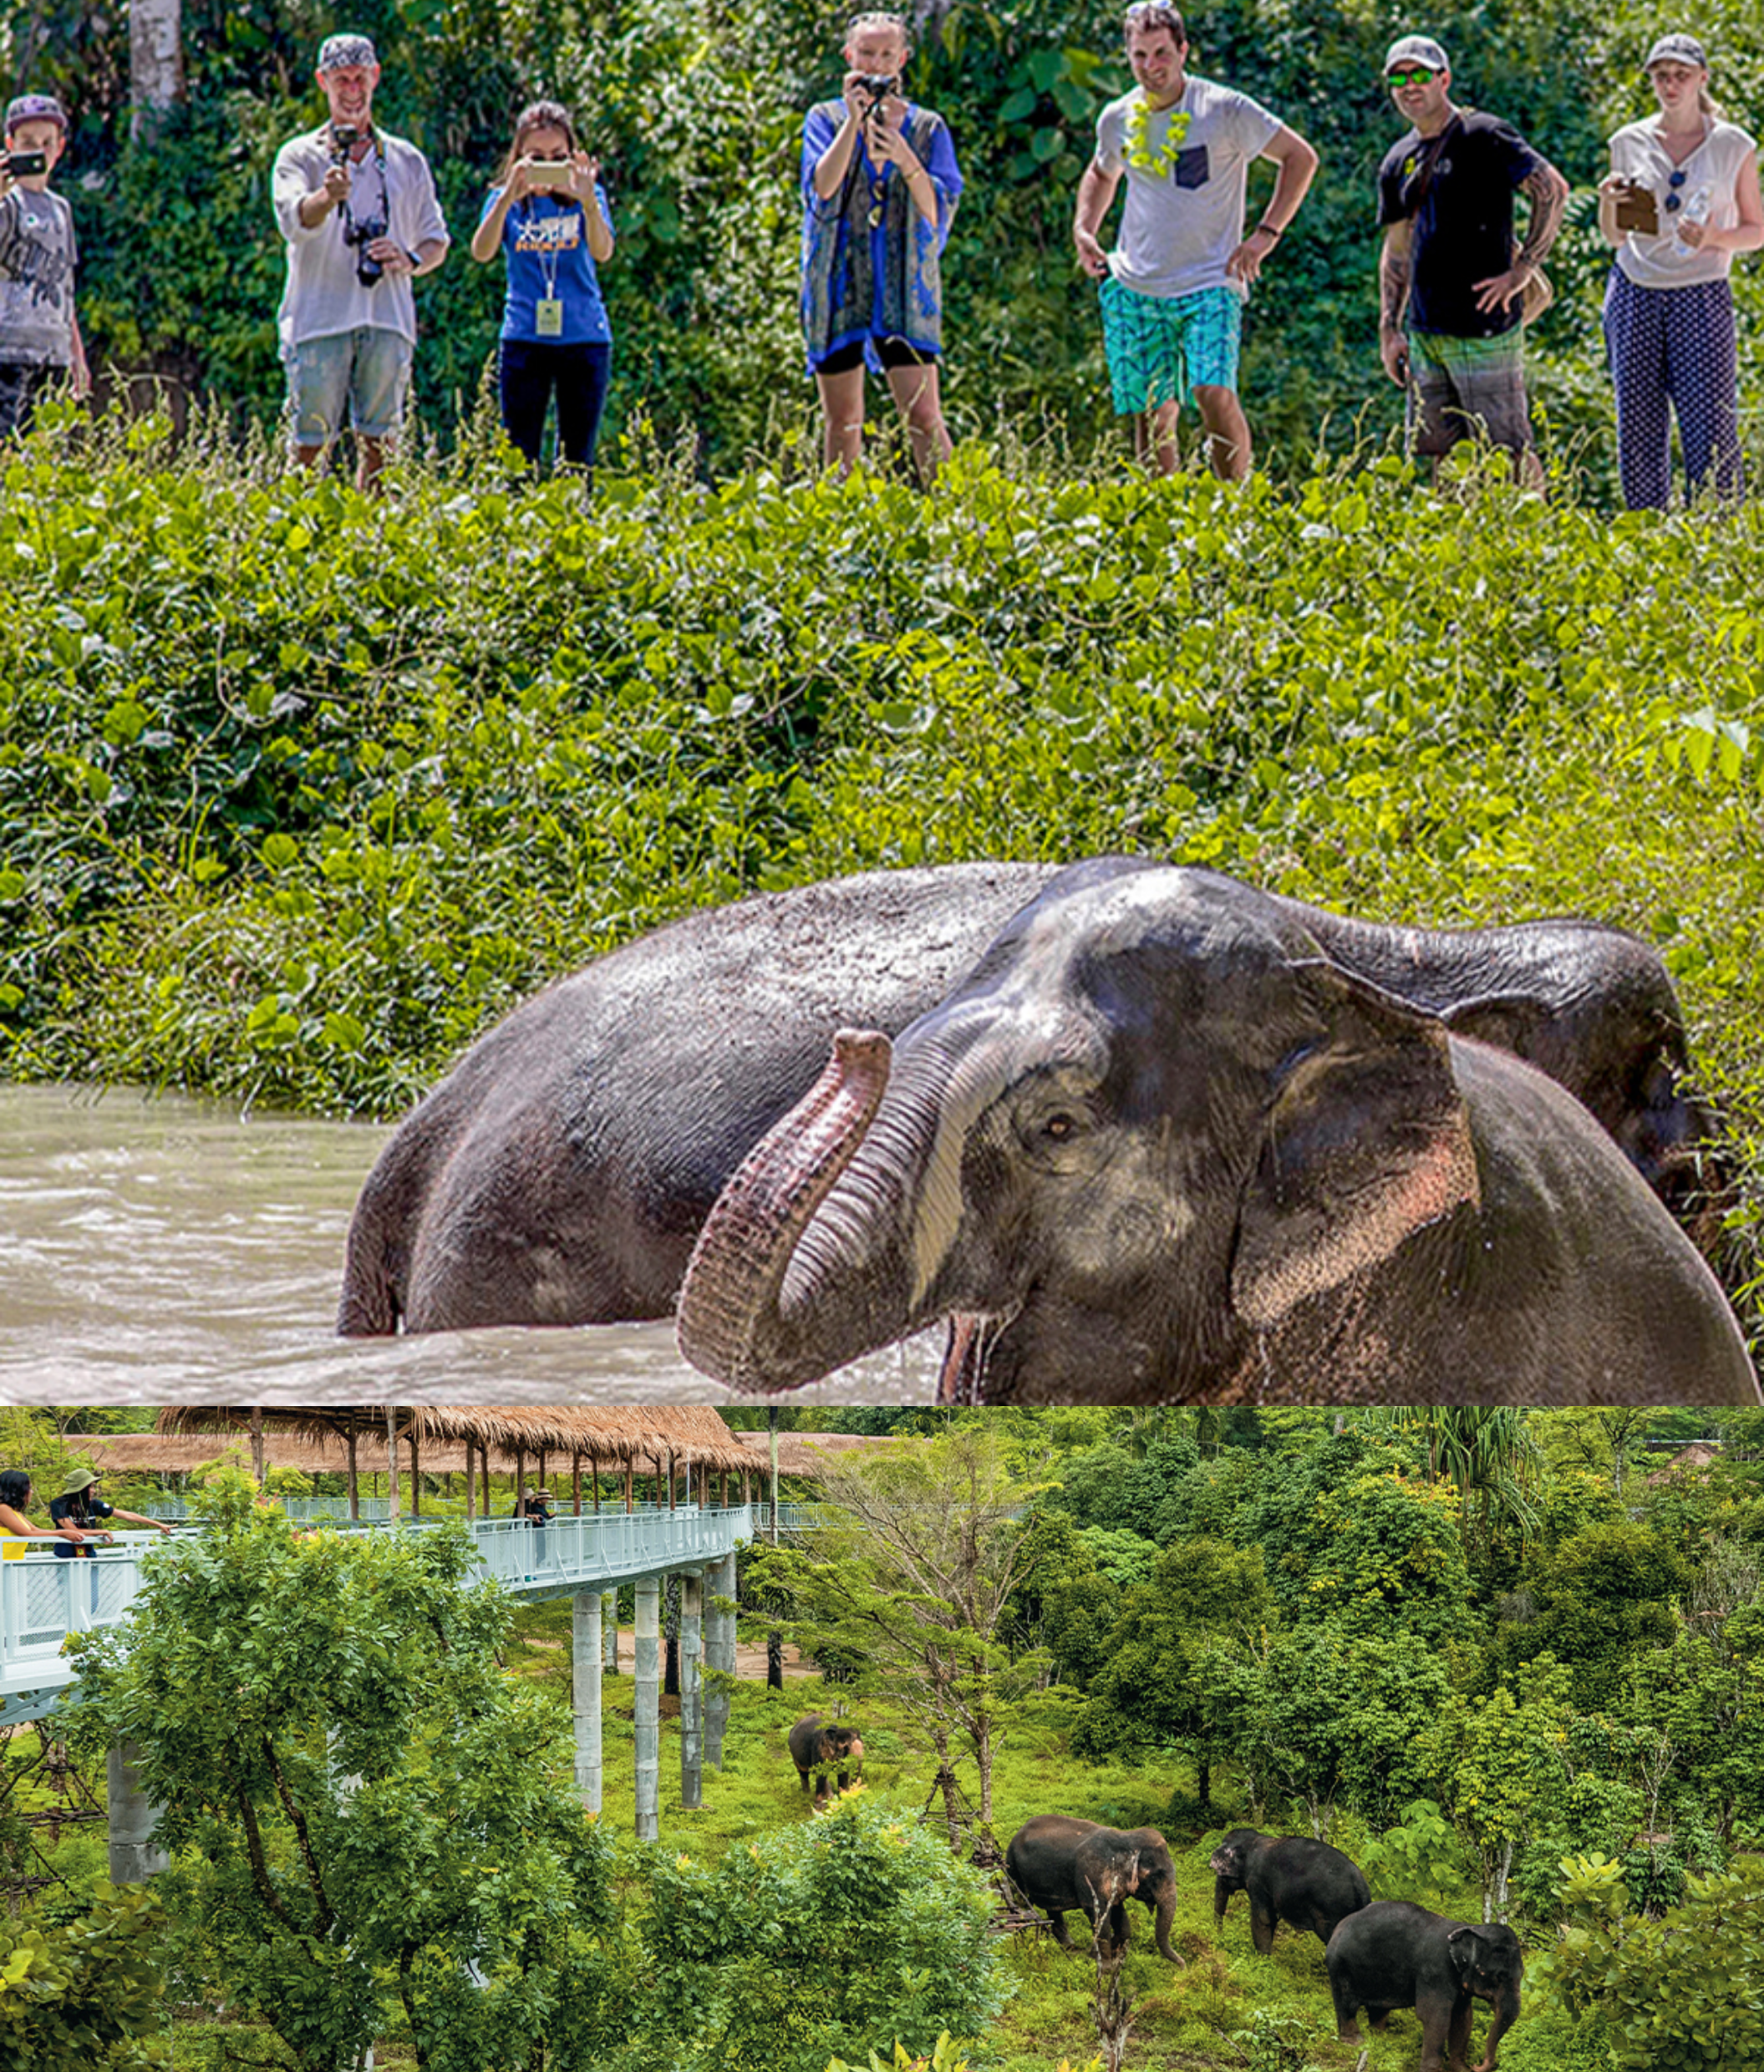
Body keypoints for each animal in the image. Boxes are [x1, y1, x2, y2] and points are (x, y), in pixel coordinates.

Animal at [1004, 1815, 1181, 1962]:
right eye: (1157, 1876)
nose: (1183, 1966)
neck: (1125, 1838)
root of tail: (1018, 1832)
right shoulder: (1092, 1875)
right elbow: (1097, 1912)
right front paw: (1101, 1962)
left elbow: (1119, 1914)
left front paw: (1109, 1951)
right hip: (1012, 1867)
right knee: (1020, 1901)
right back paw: (1022, 1936)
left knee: (1052, 1908)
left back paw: (1069, 1945)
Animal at [1209, 1828, 1371, 1951]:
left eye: (1220, 1872)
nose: (1219, 1936)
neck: (1255, 1841)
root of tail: (1361, 1886)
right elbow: (1271, 1918)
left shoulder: (1257, 1882)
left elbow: (1262, 1918)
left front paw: (1262, 1958)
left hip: (1333, 1909)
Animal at [1326, 1902, 1524, 2072]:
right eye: (1499, 1977)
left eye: (1522, 1974)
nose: (1477, 2065)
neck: (1467, 1928)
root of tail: (1338, 1927)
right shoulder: (1435, 1970)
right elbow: (1434, 2016)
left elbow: (1463, 2016)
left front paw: (1461, 2069)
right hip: (1340, 1965)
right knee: (1347, 2003)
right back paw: (1356, 2042)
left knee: (1379, 2008)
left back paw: (1380, 2037)